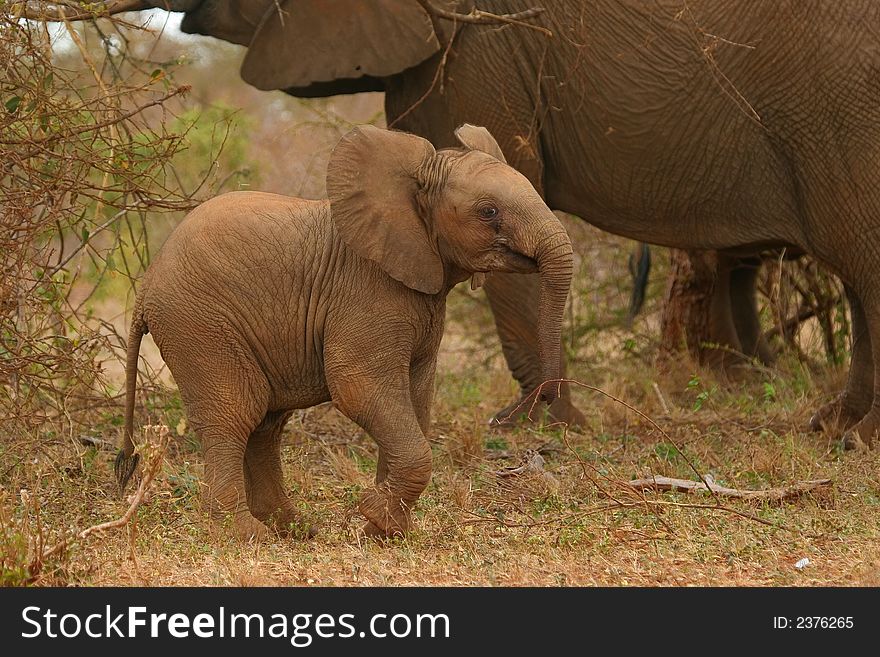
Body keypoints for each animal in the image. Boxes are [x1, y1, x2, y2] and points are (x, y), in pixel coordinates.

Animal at [29, 0, 880, 444]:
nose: (507, 418)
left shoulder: (483, 43)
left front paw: (557, 432)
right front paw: (558, 428)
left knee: (861, 262)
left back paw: (844, 435)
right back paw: (834, 429)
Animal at [118, 123, 572, 540]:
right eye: (488, 212)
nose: (539, 400)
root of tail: (146, 285)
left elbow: (417, 397)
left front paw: (385, 530)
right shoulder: (366, 291)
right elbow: (359, 386)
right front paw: (374, 516)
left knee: (264, 424)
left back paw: (294, 530)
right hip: (198, 325)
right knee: (234, 414)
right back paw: (247, 536)